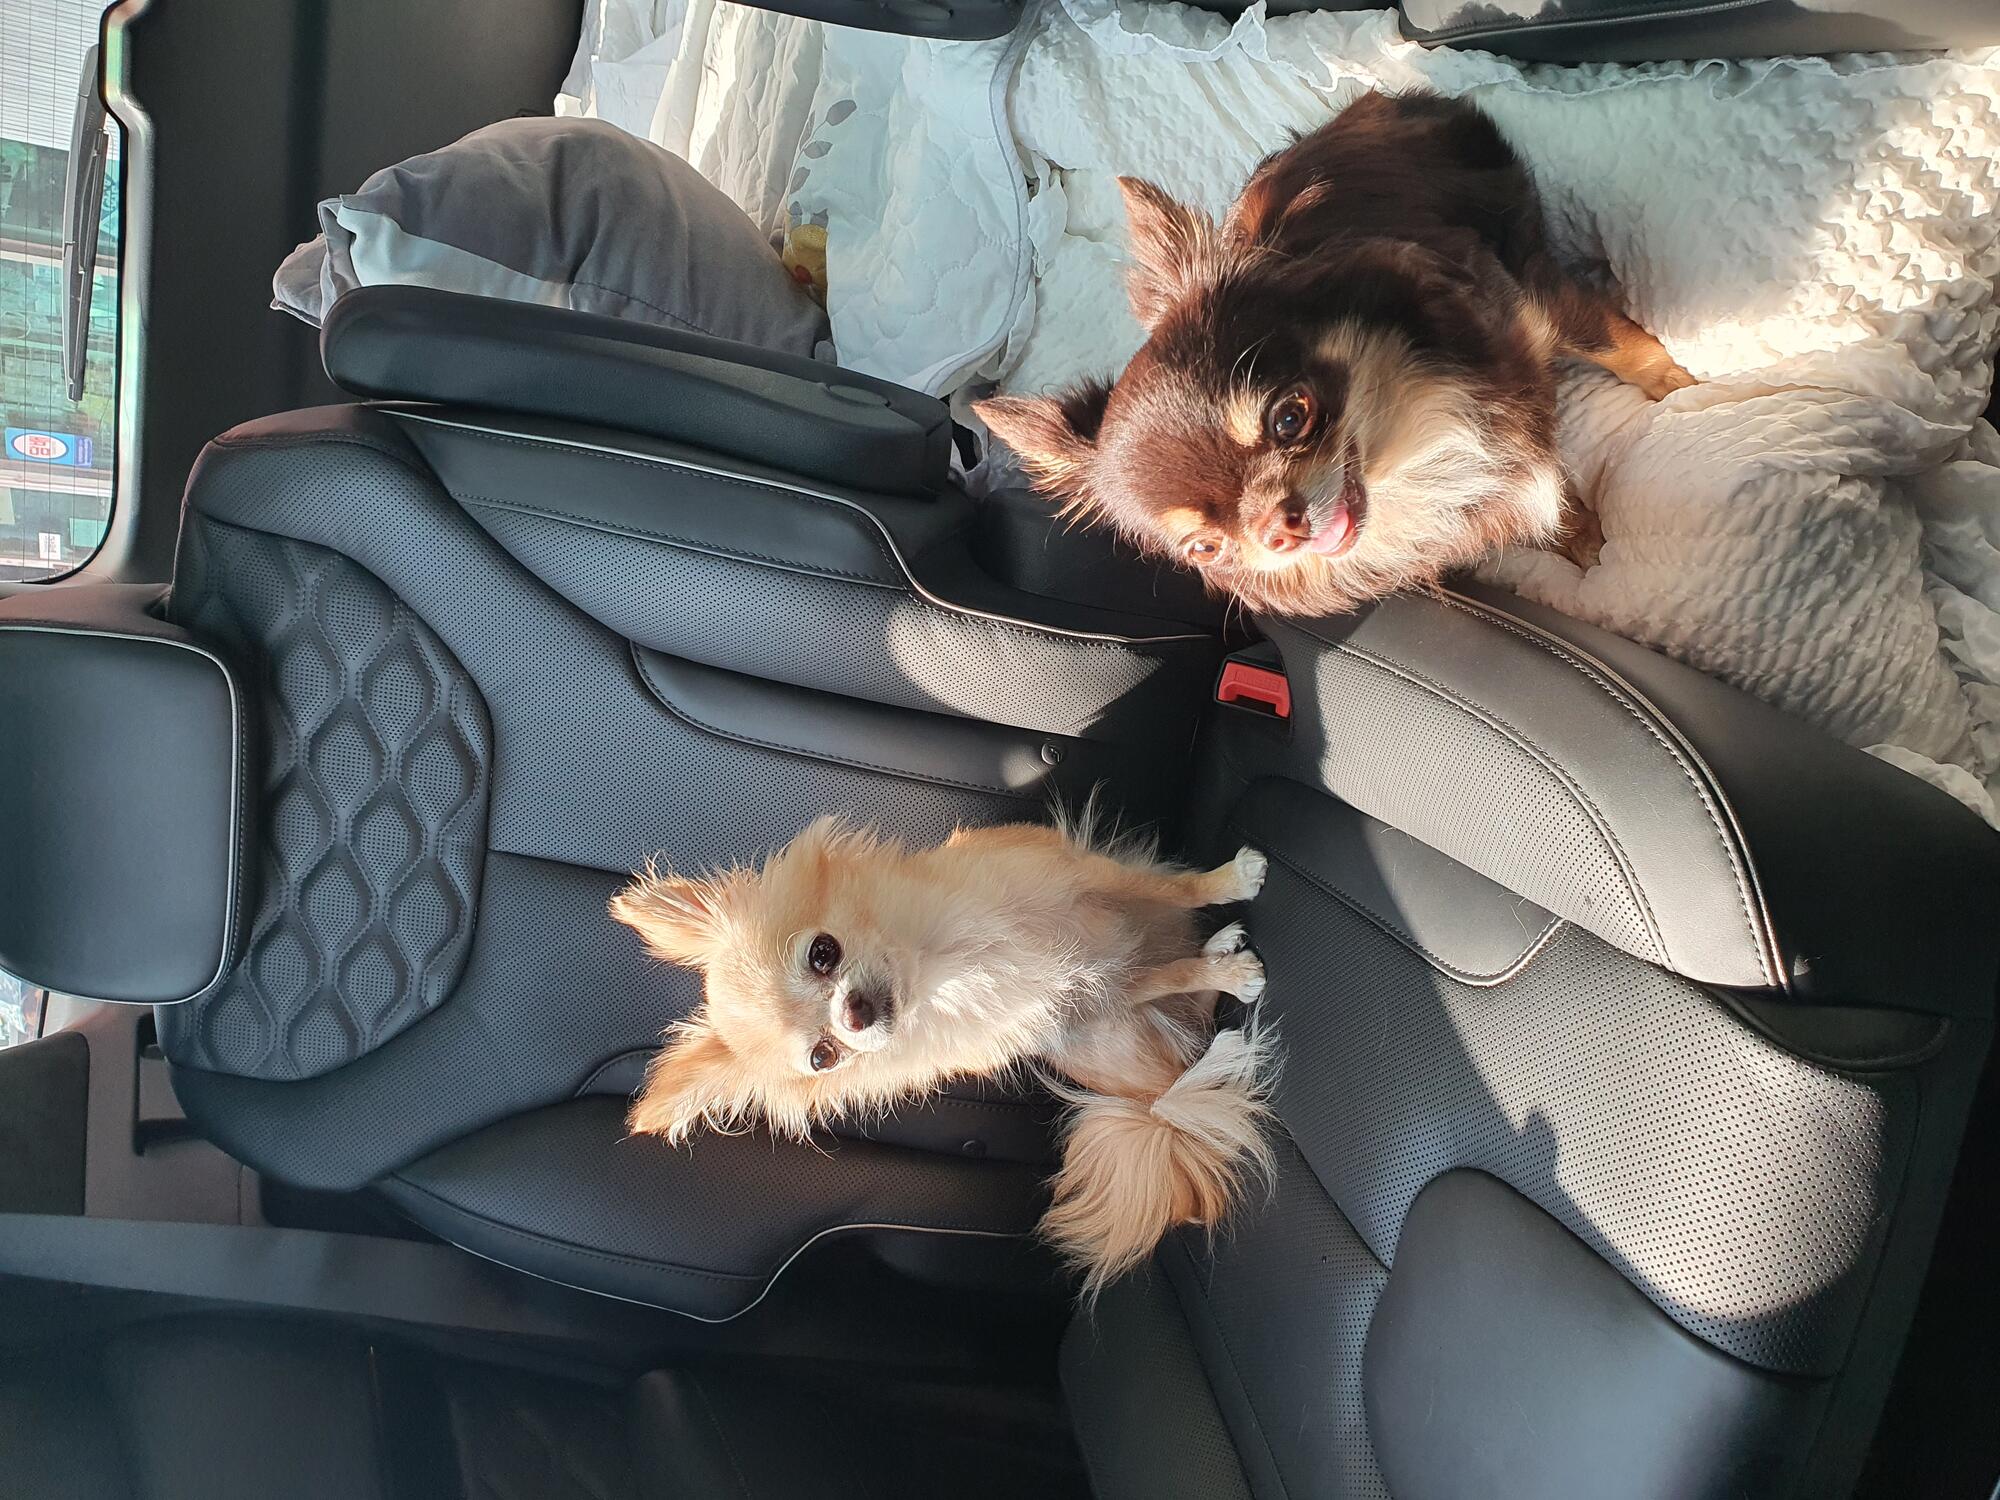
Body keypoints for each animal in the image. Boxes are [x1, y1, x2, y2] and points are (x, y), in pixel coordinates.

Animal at [610, 814, 1276, 1291]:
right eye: (823, 1058)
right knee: (1177, 1054)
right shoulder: (1087, 999)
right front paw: (1231, 969)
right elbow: (1167, 973)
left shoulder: (1078, 876)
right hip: (1107, 1040)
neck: (940, 965)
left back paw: (1217, 946)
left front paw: (1230, 881)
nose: (855, 1016)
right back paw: (1221, 984)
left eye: (822, 953)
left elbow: (1175, 887)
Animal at [976, 90, 1694, 615]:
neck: (1409, 455)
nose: (1278, 529)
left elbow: (1623, 351)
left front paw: (1688, 391)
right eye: (1205, 547)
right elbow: (1554, 500)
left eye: (1289, 417)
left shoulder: (1536, 307)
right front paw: (1585, 540)